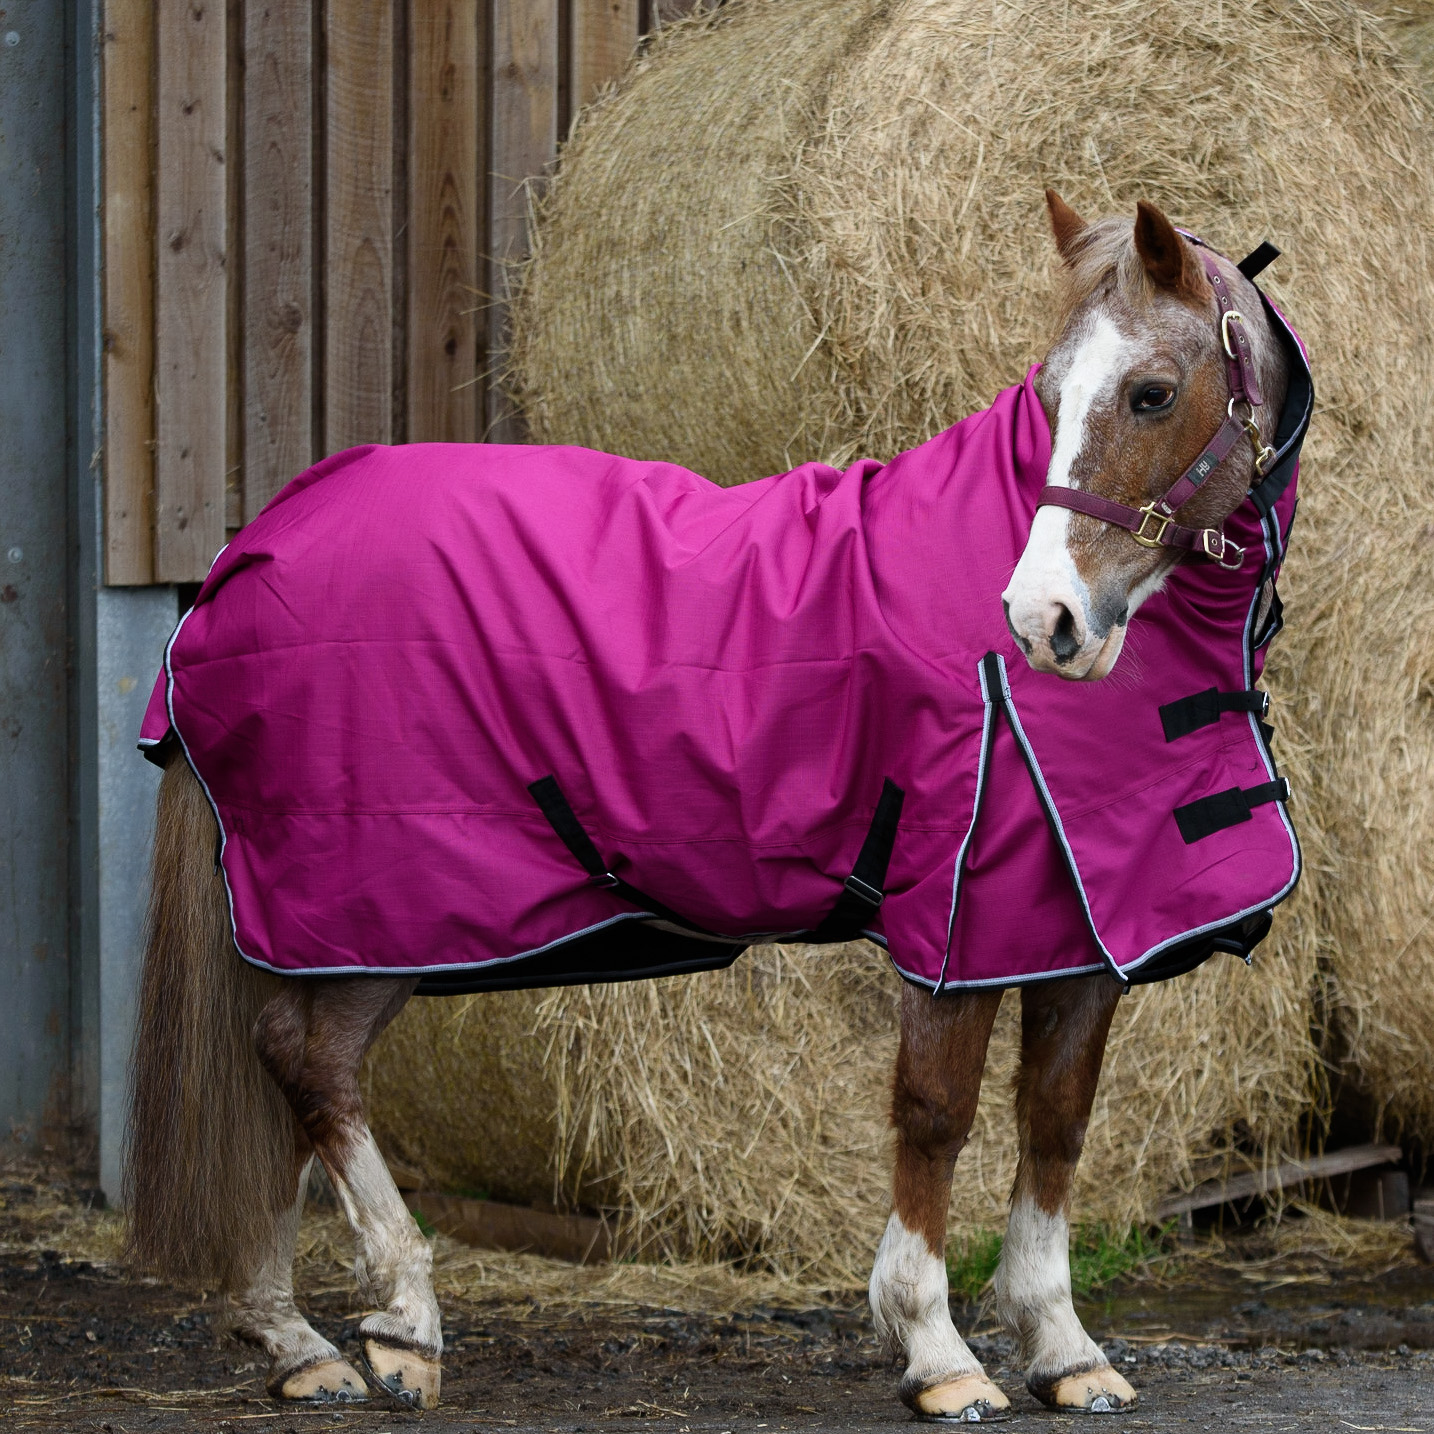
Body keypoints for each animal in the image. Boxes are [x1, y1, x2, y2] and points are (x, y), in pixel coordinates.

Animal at [123, 193, 1308, 1420]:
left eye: (1151, 392)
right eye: (1048, 393)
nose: (1043, 619)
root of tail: (252, 547)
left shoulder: (1078, 931)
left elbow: (1059, 1123)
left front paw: (1066, 1349)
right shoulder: (956, 926)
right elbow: (936, 1116)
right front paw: (936, 1351)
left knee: (279, 1086)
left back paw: (295, 1341)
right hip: (382, 908)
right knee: (310, 1067)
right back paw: (400, 1320)